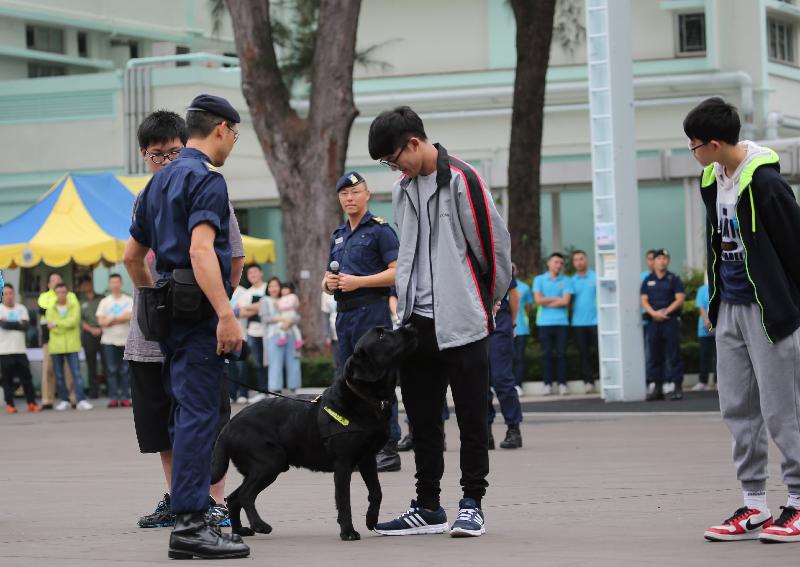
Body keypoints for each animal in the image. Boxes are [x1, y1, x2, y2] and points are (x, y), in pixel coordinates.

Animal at [209, 324, 418, 540]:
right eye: (382, 335)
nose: (410, 325)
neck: (365, 398)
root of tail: (229, 426)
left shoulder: (367, 459)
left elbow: (377, 492)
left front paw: (371, 519)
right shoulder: (343, 463)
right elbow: (344, 500)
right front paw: (347, 531)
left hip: (261, 466)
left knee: (234, 498)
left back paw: (239, 530)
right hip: (270, 462)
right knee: (245, 495)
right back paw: (259, 525)